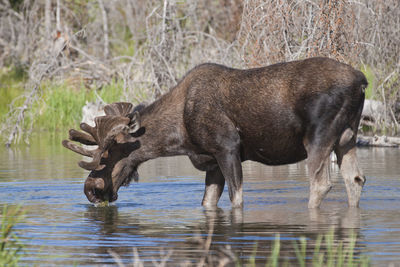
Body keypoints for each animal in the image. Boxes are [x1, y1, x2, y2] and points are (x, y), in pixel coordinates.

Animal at [63, 58, 368, 209]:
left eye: (109, 152)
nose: (90, 189)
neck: (178, 136)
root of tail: (362, 81)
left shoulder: (227, 147)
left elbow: (237, 198)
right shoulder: (211, 162)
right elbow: (207, 202)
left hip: (318, 136)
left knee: (321, 184)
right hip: (347, 138)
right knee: (355, 180)